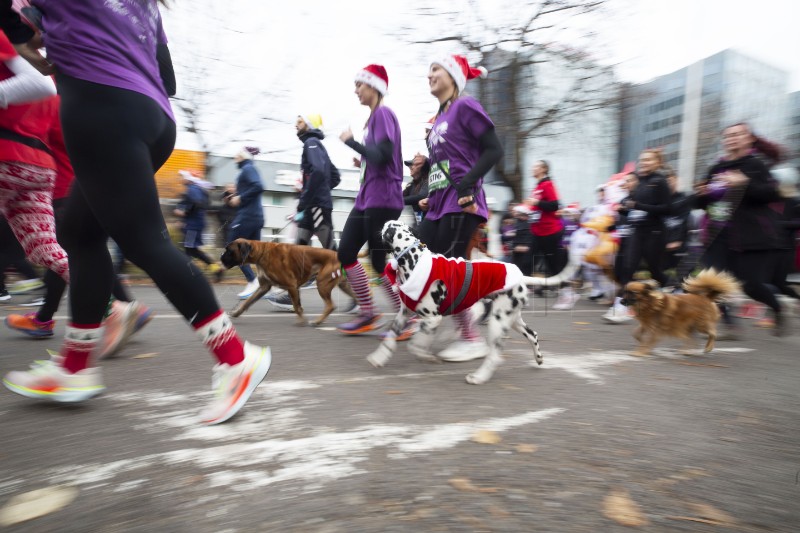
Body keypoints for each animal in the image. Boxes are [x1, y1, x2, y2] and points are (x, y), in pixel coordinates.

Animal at [220, 240, 354, 324]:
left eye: (229, 251)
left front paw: (301, 320)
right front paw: (237, 313)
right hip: (344, 286)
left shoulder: (291, 286)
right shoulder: (264, 288)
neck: (262, 252)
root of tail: (338, 255)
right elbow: (247, 302)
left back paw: (318, 321)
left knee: (330, 306)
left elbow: (296, 306)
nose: (221, 256)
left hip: (322, 284)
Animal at [368, 219, 576, 382]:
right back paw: (538, 358)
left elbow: (416, 342)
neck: (413, 260)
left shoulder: (432, 318)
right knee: (533, 335)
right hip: (513, 319)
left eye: (389, 226)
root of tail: (520, 276)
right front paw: (379, 358)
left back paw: (479, 377)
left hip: (498, 323)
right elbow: (390, 338)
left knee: (494, 356)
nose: (382, 223)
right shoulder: (404, 314)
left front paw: (424, 355)